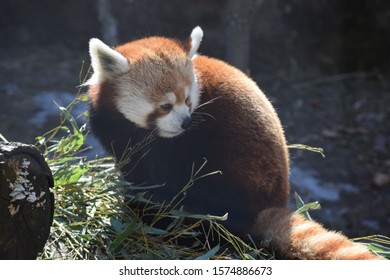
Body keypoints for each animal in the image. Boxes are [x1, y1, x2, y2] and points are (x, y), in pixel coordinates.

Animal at [86, 27, 380, 260]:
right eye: (165, 106)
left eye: (188, 101)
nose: (186, 124)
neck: (143, 131)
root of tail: (269, 204)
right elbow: (134, 172)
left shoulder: (172, 148)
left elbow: (161, 183)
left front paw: (145, 213)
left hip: (233, 175)